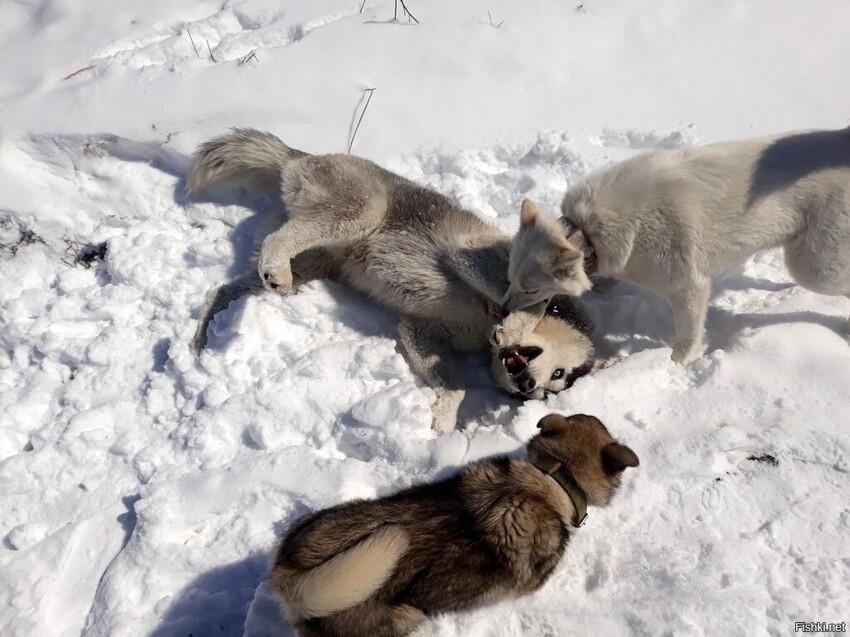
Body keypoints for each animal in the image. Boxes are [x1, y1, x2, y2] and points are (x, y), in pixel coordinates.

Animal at [189, 129, 592, 432]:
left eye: (553, 387)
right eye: (558, 374)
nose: (528, 388)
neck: (485, 325)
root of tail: (301, 156)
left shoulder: (421, 330)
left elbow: (455, 387)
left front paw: (444, 425)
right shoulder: (472, 256)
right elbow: (532, 301)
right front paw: (516, 324)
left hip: (317, 261)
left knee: (223, 288)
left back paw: (205, 335)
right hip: (361, 211)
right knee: (279, 240)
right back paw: (276, 271)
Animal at [504, 128, 848, 362]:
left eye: (531, 290)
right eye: (510, 280)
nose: (503, 309)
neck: (588, 232)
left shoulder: (688, 287)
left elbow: (688, 334)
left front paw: (678, 362)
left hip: (813, 269)